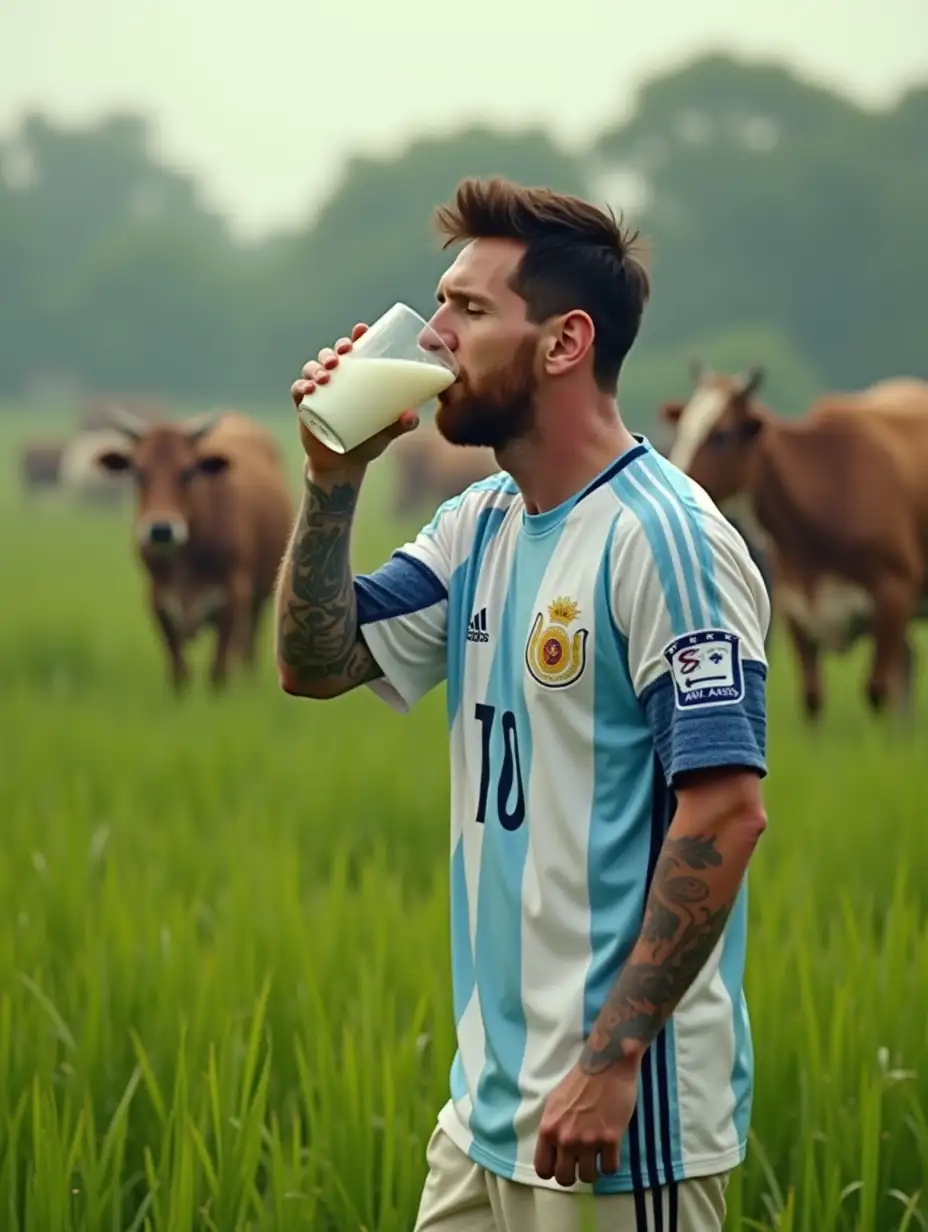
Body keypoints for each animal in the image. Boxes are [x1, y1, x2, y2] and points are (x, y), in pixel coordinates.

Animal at [94, 406, 293, 689]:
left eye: (187, 472)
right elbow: (179, 670)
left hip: (259, 596)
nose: (161, 530)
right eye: (139, 473)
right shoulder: (158, 601)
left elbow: (218, 671)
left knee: (248, 644)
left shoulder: (232, 597)